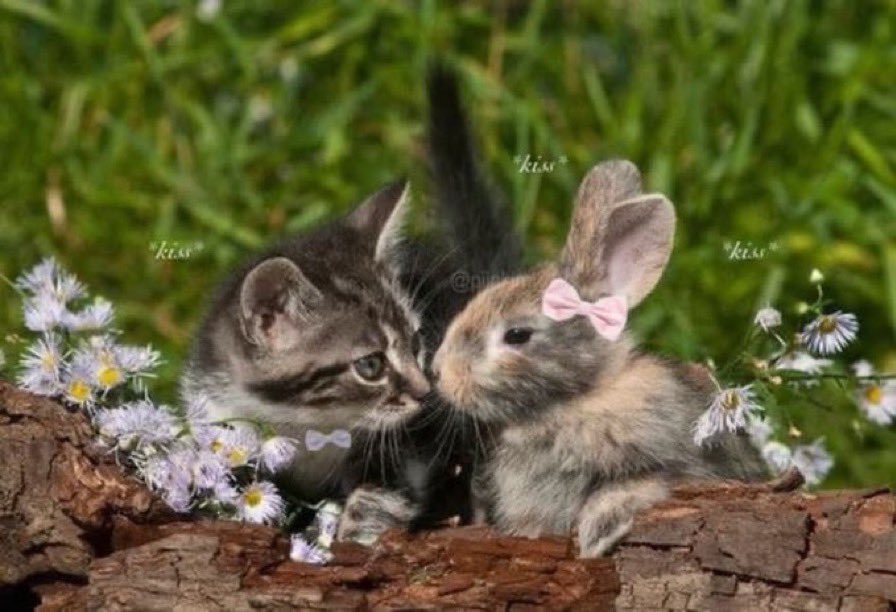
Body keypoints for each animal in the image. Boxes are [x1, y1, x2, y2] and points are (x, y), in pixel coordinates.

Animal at [430, 159, 764, 557]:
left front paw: (595, 536)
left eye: (517, 335)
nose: (440, 373)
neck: (577, 400)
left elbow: (638, 486)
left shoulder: (682, 466)